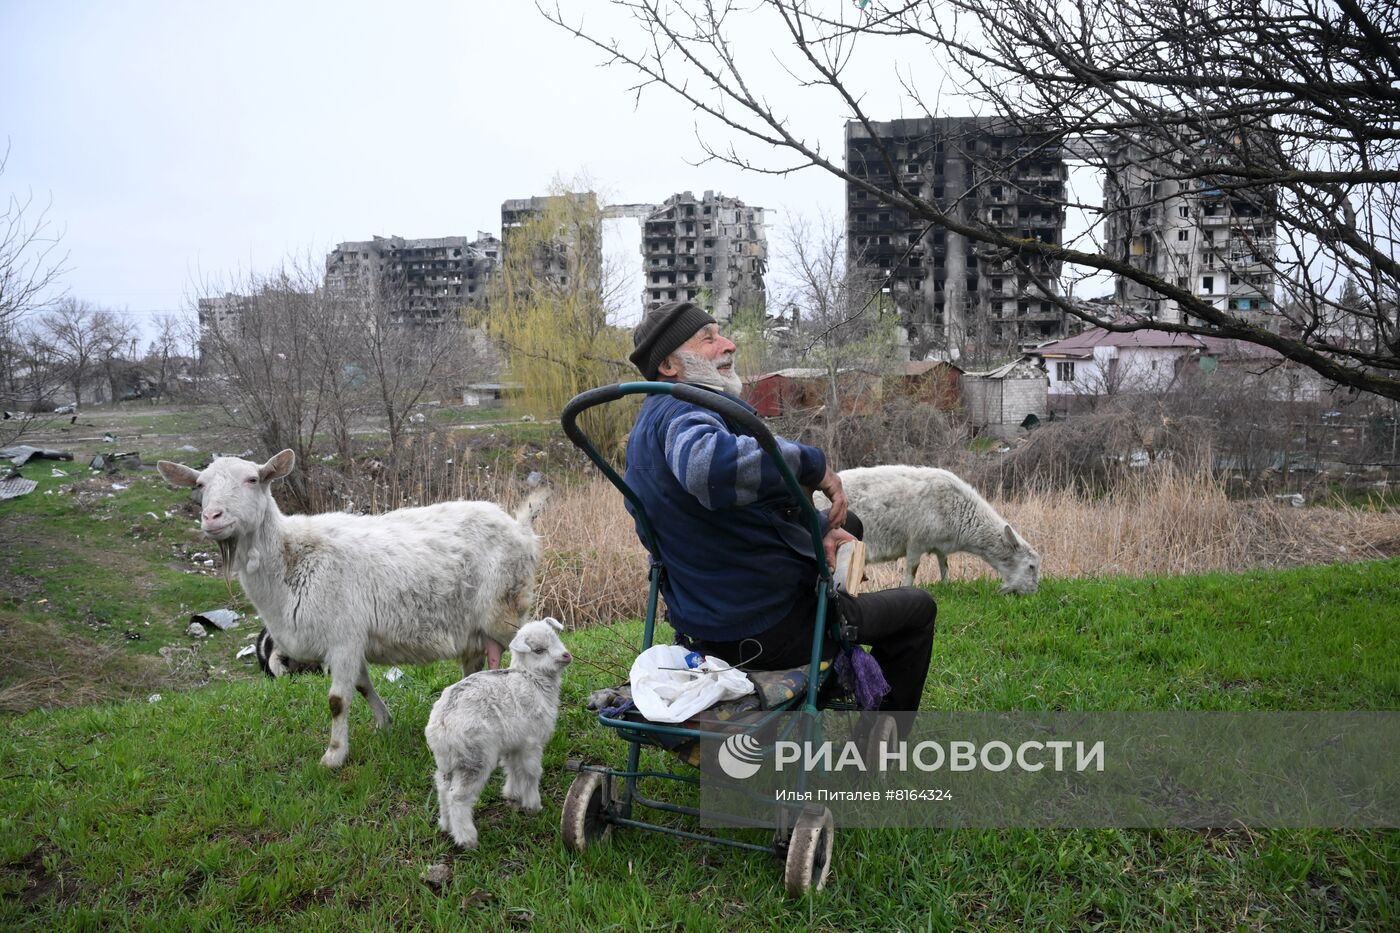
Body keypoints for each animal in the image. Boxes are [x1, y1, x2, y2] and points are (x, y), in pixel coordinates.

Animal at [156, 448, 543, 762]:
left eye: (253, 479)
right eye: (200, 485)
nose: (212, 518)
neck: (290, 558)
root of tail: (519, 527)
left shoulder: (342, 637)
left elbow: (337, 701)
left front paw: (334, 756)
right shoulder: (351, 640)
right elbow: (362, 686)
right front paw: (384, 724)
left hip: (506, 609)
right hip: (472, 626)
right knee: (476, 665)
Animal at [422, 613, 571, 846]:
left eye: (556, 638)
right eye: (539, 650)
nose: (566, 656)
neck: (531, 677)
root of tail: (441, 722)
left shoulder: (514, 743)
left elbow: (512, 768)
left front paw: (512, 795)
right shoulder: (531, 742)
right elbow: (531, 772)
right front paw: (533, 805)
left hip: (448, 760)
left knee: (443, 789)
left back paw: (446, 826)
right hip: (475, 757)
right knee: (458, 796)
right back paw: (467, 838)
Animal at [828, 462, 1041, 591]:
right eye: (1031, 566)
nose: (1033, 592)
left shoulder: (941, 545)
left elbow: (944, 566)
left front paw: (947, 586)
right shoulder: (916, 542)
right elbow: (911, 570)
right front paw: (907, 589)